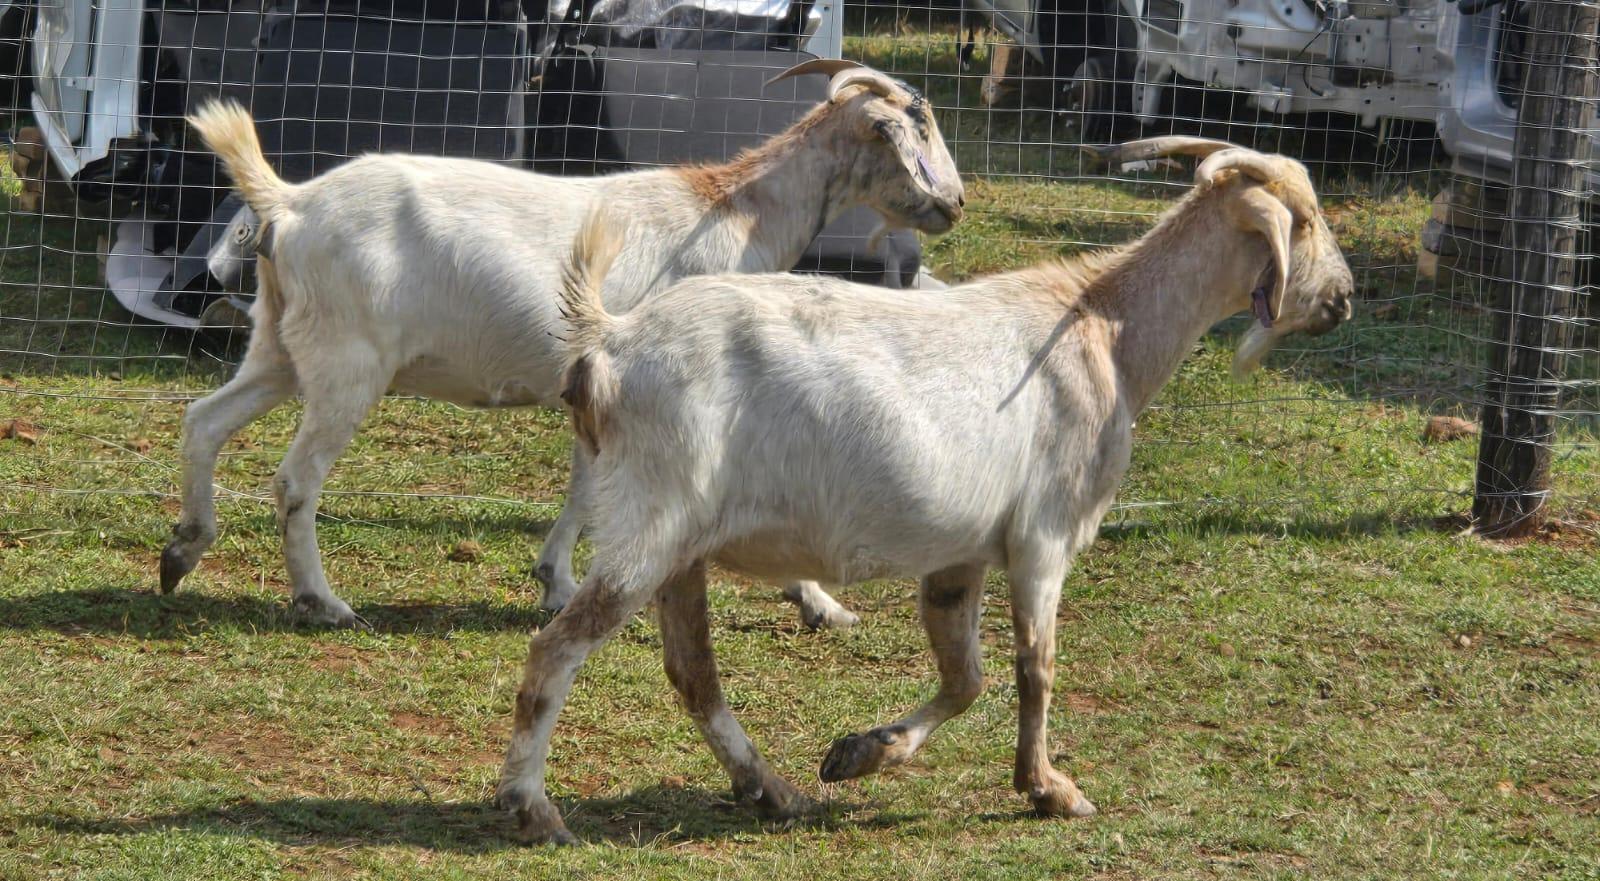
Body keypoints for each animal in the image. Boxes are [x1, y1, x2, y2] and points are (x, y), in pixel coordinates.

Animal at [159, 60, 964, 629]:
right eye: (916, 124)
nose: (955, 204)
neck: (734, 214)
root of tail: (289, 202)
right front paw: (820, 600)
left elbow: (585, 488)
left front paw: (556, 582)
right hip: (346, 364)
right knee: (296, 480)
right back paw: (320, 600)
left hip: (281, 345)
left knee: (204, 421)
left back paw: (181, 551)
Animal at [495, 137, 1355, 843]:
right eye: (1307, 219)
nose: (1343, 298)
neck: (1104, 332)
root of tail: (609, 343)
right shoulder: (1044, 534)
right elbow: (1036, 664)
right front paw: (1049, 789)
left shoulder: (960, 553)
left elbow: (964, 675)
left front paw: (861, 751)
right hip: (652, 523)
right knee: (558, 647)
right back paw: (534, 807)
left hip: (681, 547)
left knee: (693, 672)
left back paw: (774, 788)